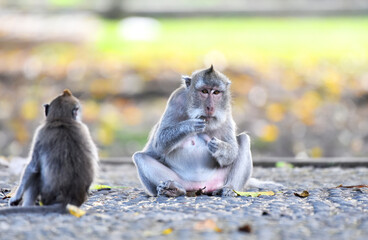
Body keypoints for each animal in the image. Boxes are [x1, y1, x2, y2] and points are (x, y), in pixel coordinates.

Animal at [133, 65, 256, 197]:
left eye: (216, 92)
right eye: (204, 91)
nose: (210, 107)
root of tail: (201, 187)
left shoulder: (226, 110)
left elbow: (232, 152)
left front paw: (219, 147)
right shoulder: (176, 99)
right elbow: (159, 143)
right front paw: (190, 125)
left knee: (244, 139)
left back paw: (229, 188)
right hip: (184, 182)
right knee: (140, 157)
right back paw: (175, 189)